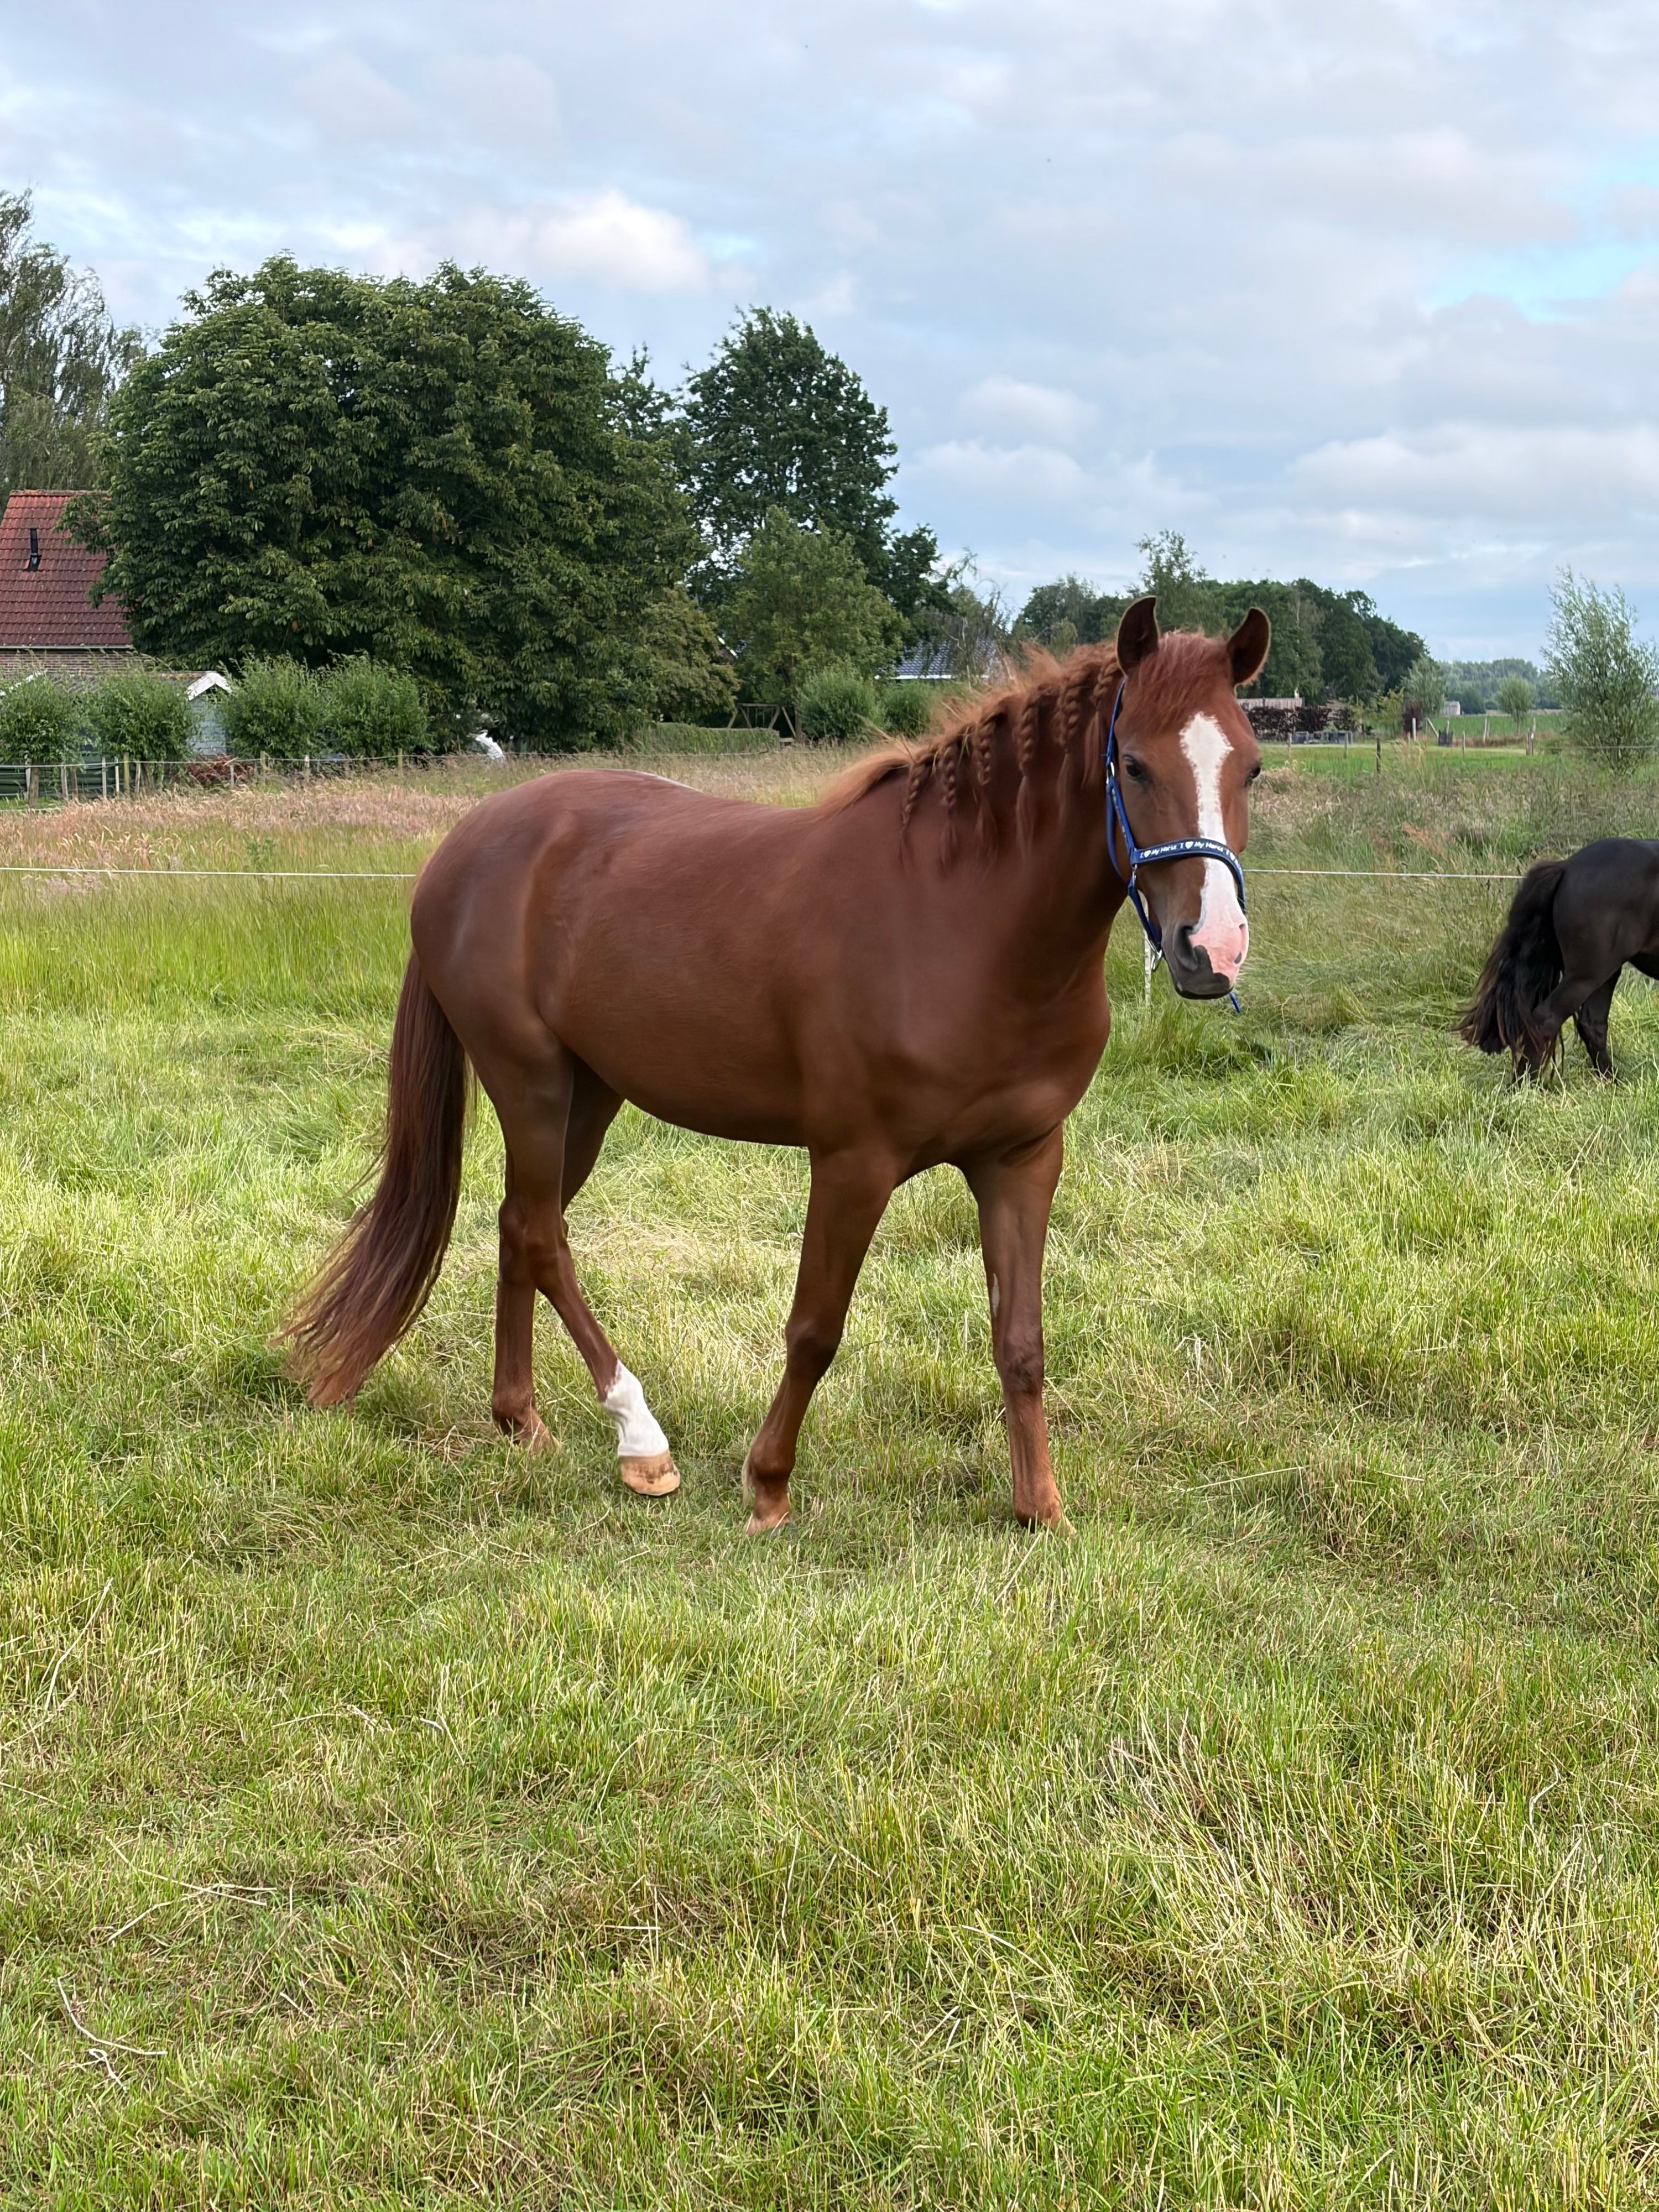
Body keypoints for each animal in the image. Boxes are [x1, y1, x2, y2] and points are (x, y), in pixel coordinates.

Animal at [283, 595, 1270, 1533]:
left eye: (1251, 767)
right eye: (1133, 764)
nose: (1212, 949)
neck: (963, 924)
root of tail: (463, 845)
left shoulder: (1022, 1160)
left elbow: (1020, 1340)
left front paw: (1041, 1510)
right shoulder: (854, 1163)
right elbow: (815, 1329)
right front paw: (767, 1487)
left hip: (588, 1095)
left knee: (519, 1225)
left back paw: (521, 1419)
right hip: (529, 1080)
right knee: (540, 1235)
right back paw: (640, 1439)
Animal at [1459, 838, 1659, 1079]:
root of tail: (1568, 866)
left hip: (1605, 973)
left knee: (1592, 1025)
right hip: (1587, 976)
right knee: (1546, 1020)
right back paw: (1524, 1083)